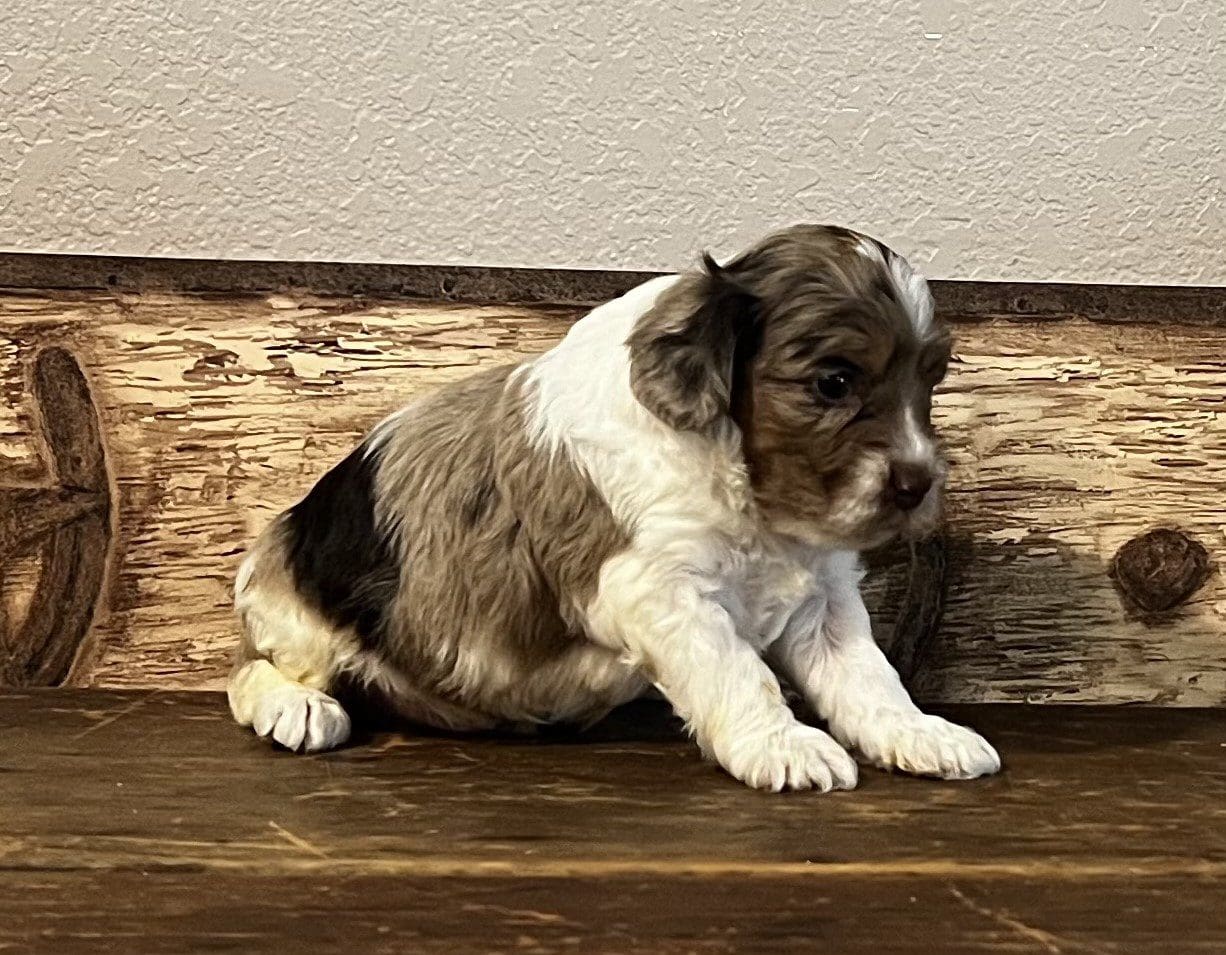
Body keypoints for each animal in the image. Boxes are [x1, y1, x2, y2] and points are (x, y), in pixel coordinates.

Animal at [225, 224, 1000, 789]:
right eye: (834, 382)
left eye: (929, 383)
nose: (919, 484)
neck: (748, 488)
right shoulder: (655, 586)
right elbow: (738, 671)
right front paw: (786, 745)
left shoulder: (824, 596)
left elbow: (868, 674)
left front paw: (919, 733)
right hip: (294, 612)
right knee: (250, 673)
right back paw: (299, 705)